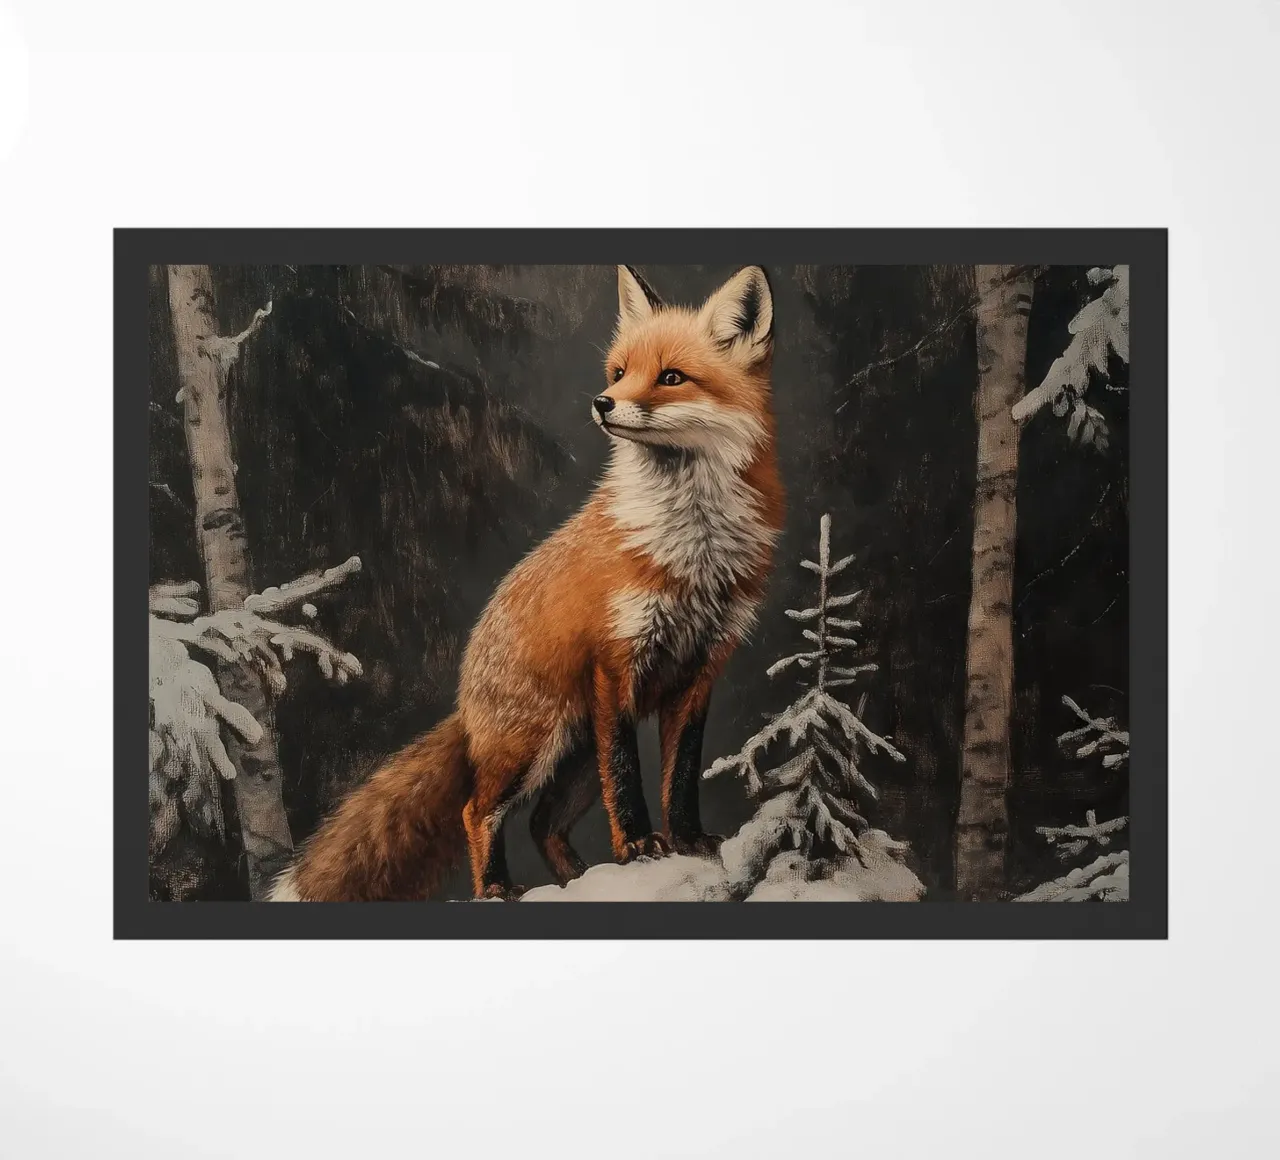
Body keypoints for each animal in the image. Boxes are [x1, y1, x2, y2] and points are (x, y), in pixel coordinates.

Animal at [269, 264, 784, 901]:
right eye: (619, 372)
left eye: (671, 377)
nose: (602, 402)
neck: (692, 549)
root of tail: (465, 698)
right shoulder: (615, 664)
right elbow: (628, 780)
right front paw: (640, 845)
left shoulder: (701, 671)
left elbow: (680, 776)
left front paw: (688, 840)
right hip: (537, 745)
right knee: (477, 810)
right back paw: (496, 888)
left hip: (574, 759)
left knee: (542, 824)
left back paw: (579, 881)